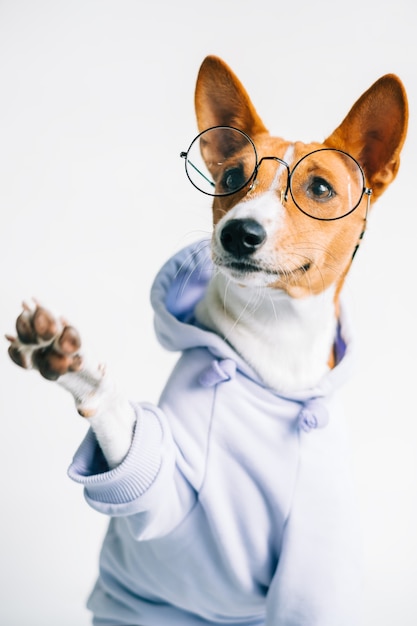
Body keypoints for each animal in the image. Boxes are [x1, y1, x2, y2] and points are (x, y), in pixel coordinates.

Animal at [6, 56, 408, 620]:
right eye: (233, 176)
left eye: (320, 189)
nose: (239, 232)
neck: (275, 346)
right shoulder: (167, 498)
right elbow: (125, 432)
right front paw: (65, 361)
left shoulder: (316, 563)